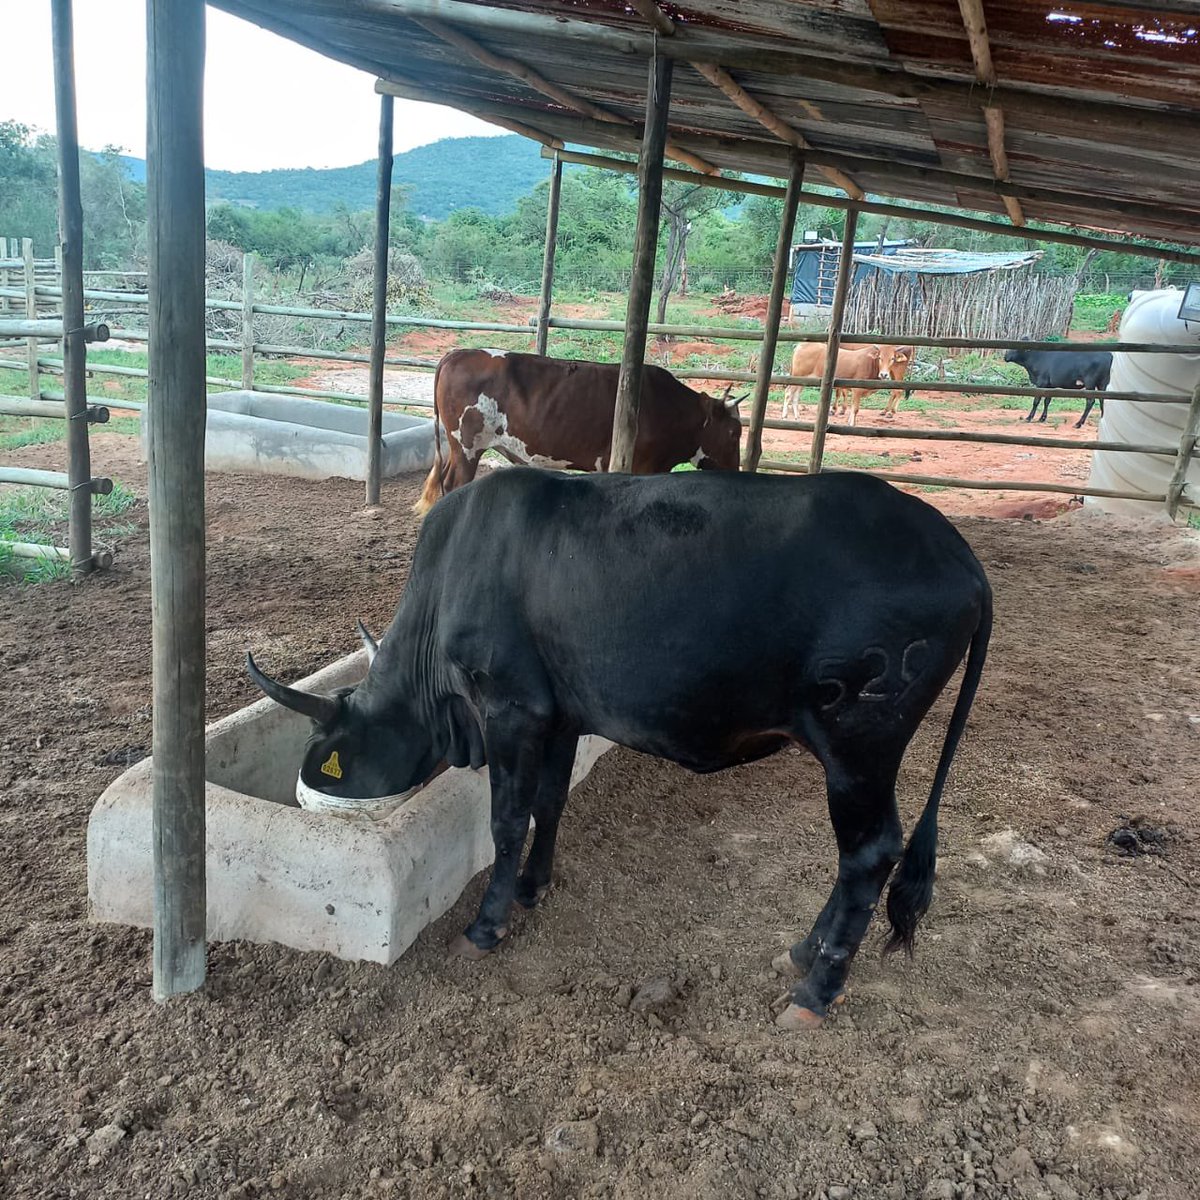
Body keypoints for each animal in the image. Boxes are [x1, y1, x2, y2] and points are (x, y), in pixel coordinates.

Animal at [248, 468, 992, 1030]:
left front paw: (486, 926)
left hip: (859, 747)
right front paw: (533, 887)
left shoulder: (510, 708)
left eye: (335, 751)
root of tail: (956, 551)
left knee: (869, 854)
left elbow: (507, 820)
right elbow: (549, 802)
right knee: (864, 857)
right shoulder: (559, 715)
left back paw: (815, 992)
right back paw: (803, 953)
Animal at [414, 349, 743, 515]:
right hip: (467, 445)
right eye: (733, 434)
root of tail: (457, 354)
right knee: (454, 483)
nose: (738, 473)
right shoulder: (640, 464)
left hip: (459, 447)